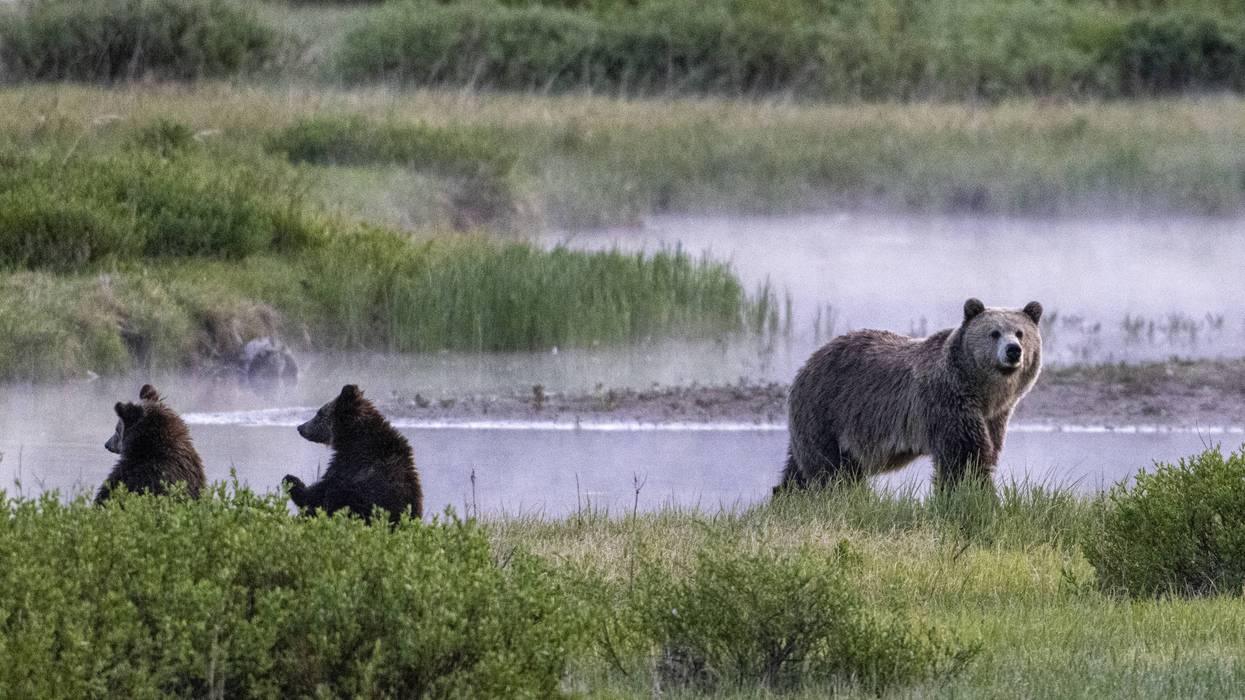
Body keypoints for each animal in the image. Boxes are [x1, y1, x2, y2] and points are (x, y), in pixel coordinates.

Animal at [282, 384, 423, 523]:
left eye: (319, 413)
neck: (353, 438)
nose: (300, 427)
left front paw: (291, 480)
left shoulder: (352, 467)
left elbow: (319, 494)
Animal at [777, 298, 1043, 493]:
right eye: (994, 333)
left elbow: (987, 450)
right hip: (827, 411)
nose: (1013, 350)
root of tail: (809, 362)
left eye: (1020, 332)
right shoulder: (947, 402)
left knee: (798, 467)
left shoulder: (994, 417)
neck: (983, 392)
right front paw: (977, 495)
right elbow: (965, 458)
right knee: (830, 468)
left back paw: (787, 494)